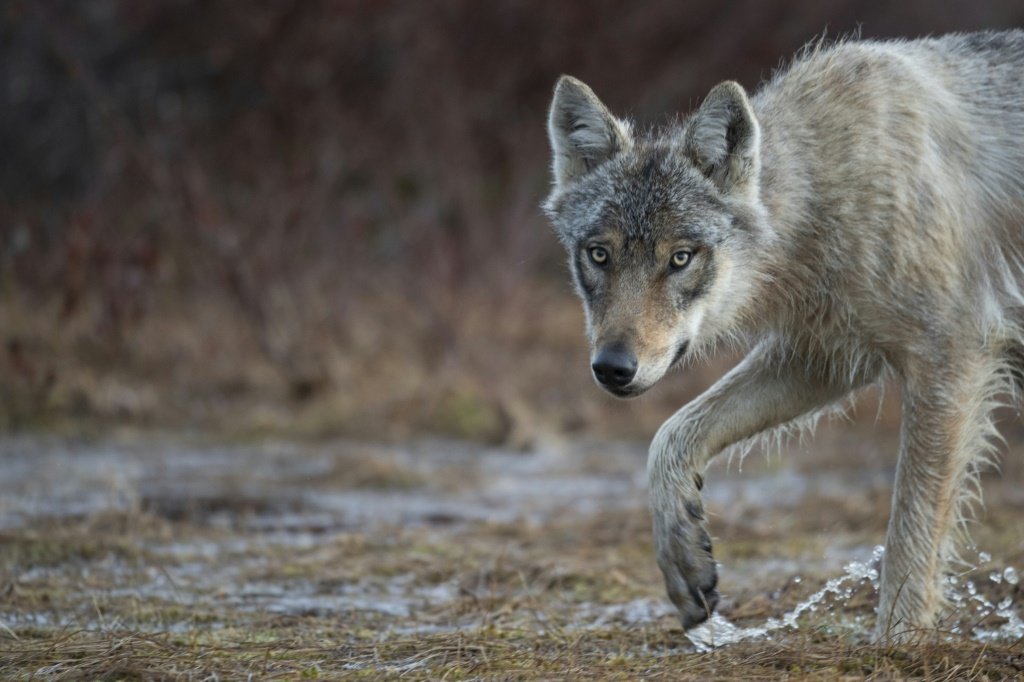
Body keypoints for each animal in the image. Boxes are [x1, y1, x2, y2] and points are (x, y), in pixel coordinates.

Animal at [540, 30, 1024, 638]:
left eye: (680, 258)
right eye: (598, 254)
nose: (612, 368)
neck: (829, 191)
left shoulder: (950, 358)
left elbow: (909, 534)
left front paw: (896, 642)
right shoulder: (824, 357)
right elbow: (669, 437)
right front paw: (684, 561)